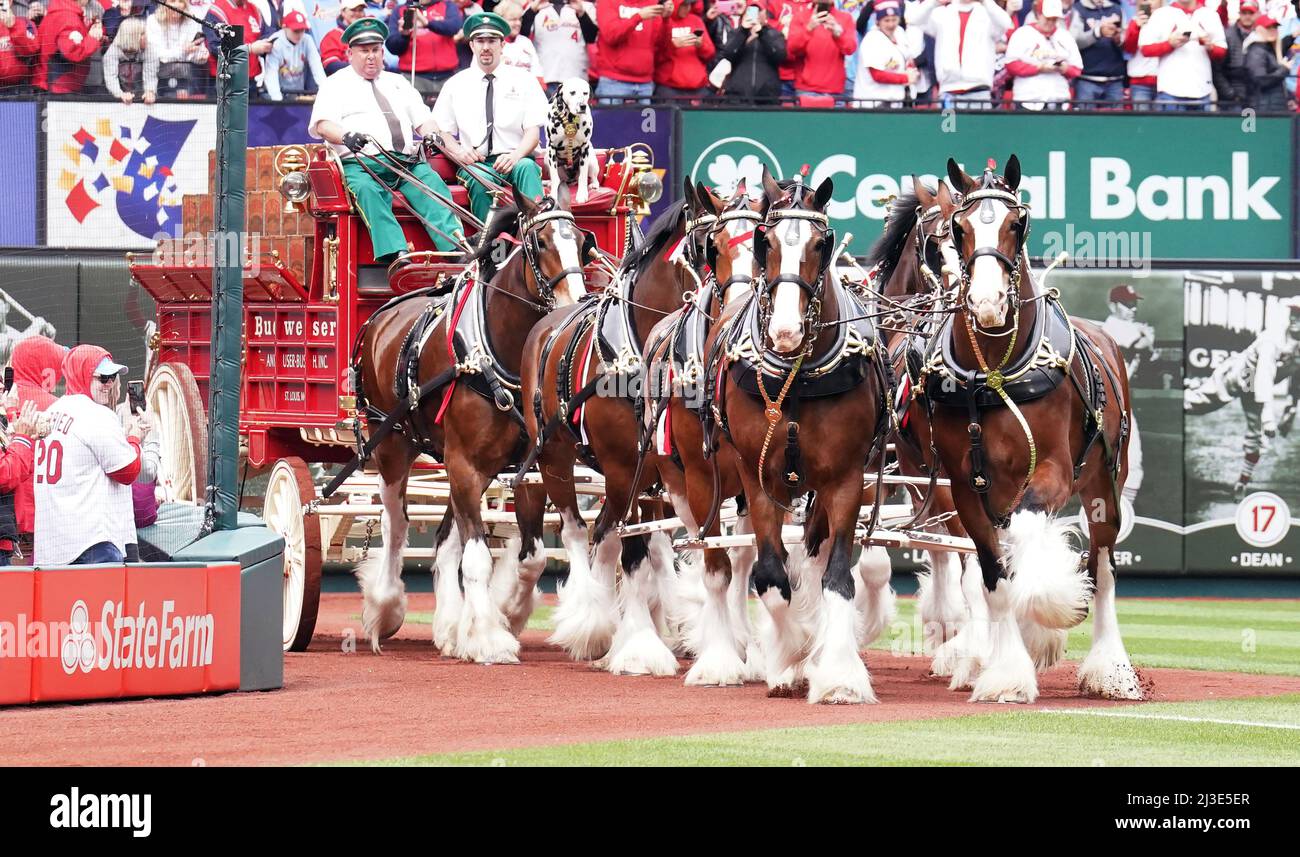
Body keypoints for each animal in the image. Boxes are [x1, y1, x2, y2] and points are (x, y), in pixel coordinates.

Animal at [351, 187, 585, 663]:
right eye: (541, 243)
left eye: (583, 244)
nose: (575, 304)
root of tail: (384, 314)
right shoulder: (463, 464)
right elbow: (475, 557)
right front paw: (489, 639)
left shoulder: (525, 467)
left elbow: (522, 555)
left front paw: (496, 617)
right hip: (393, 444)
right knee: (395, 524)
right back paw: (385, 606)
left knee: (444, 539)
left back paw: (449, 625)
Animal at [546, 78, 600, 206]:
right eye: (572, 92)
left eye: (585, 93)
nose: (582, 106)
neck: (570, 118)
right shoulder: (551, 148)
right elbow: (555, 178)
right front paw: (553, 195)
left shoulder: (585, 148)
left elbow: (583, 176)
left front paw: (582, 194)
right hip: (546, 159)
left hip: (592, 161)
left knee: (593, 177)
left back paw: (594, 184)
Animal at [925, 157, 1138, 702]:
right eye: (958, 228)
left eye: (1016, 224)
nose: (987, 303)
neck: (995, 373)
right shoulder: (965, 489)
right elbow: (994, 575)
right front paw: (1006, 672)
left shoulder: (1053, 473)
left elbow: (1028, 538)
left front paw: (1051, 609)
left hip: (1105, 480)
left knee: (1103, 564)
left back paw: (1111, 668)